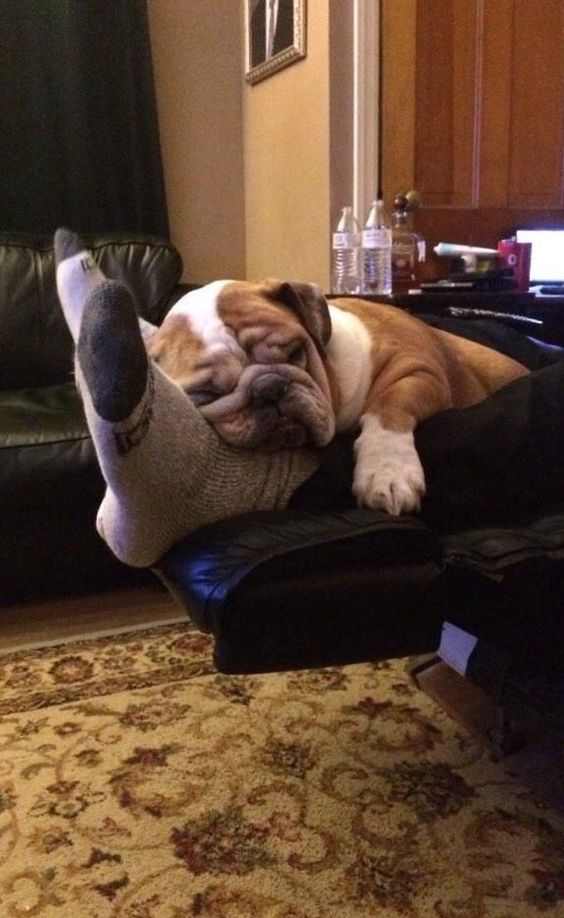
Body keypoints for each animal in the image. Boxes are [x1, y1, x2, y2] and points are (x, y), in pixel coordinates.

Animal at [147, 280, 528, 512]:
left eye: (293, 352)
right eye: (207, 392)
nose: (269, 389)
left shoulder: (419, 372)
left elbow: (387, 410)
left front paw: (387, 471)